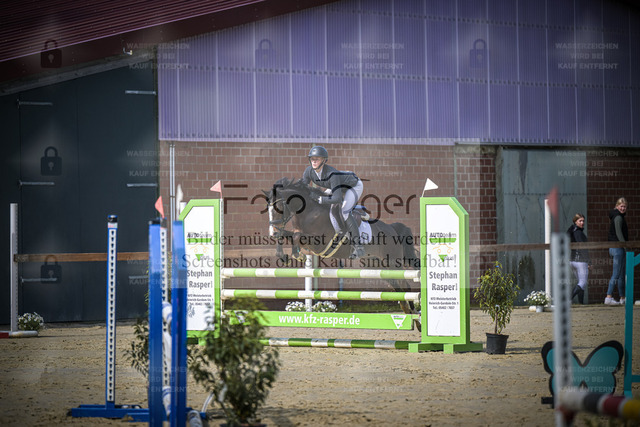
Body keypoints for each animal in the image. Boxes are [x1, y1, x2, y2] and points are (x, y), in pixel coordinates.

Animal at [264, 177, 420, 326]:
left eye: (278, 208)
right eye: (268, 210)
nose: (271, 231)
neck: (309, 213)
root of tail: (392, 228)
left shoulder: (320, 243)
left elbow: (296, 236)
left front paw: (298, 255)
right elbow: (286, 235)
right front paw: (284, 256)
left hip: (393, 263)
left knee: (405, 286)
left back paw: (416, 318)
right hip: (380, 267)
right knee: (399, 289)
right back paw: (408, 314)